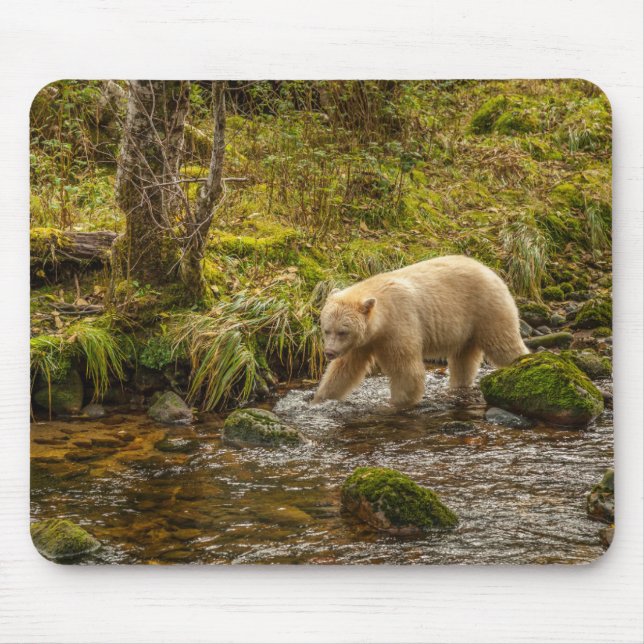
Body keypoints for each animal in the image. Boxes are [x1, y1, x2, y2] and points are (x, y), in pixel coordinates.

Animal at [312, 255, 528, 408]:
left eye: (343, 332)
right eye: (326, 330)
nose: (329, 352)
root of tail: (490, 270)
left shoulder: (398, 325)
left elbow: (406, 370)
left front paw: (396, 403)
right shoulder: (363, 342)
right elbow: (344, 370)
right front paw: (320, 398)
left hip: (486, 309)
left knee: (503, 344)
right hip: (467, 329)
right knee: (463, 359)